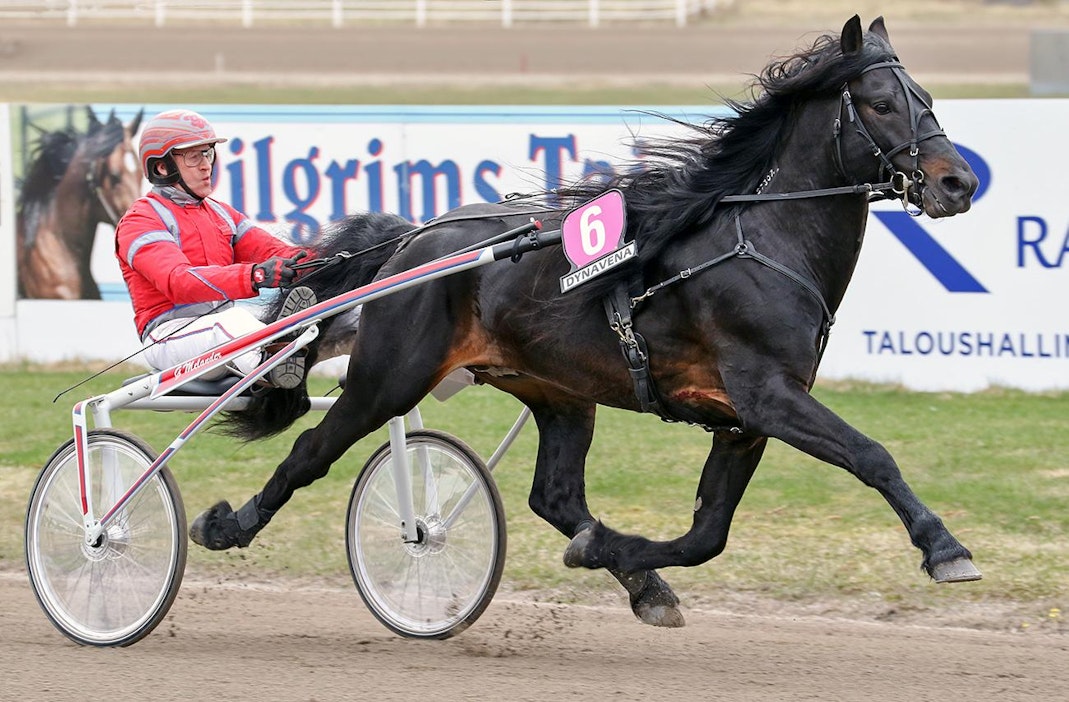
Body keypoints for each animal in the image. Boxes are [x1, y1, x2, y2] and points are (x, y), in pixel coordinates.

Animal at [196, 17, 979, 624]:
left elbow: (708, 533)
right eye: (881, 102)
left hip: (558, 391)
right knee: (310, 450)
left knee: (555, 495)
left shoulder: (742, 420)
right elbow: (871, 455)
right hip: (389, 376)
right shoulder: (766, 395)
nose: (958, 181)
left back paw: (631, 573)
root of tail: (415, 241)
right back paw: (225, 524)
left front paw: (619, 555)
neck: (759, 239)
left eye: (927, 98)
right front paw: (945, 548)